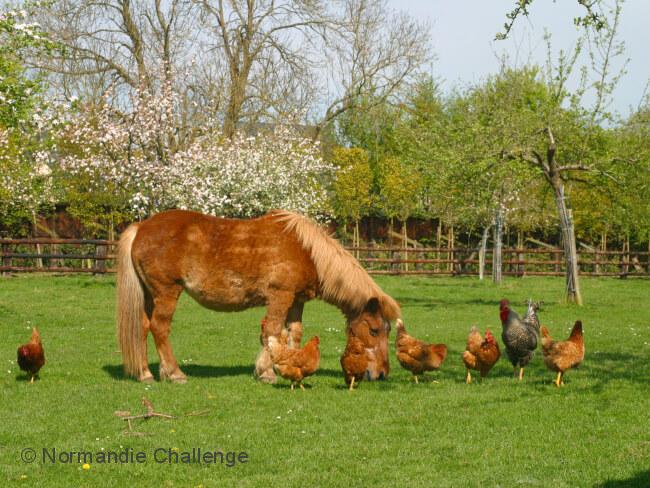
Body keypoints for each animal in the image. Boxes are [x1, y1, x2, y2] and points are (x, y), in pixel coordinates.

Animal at [117, 208, 400, 384]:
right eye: (374, 330)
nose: (382, 374)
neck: (307, 251)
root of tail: (141, 227)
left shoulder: (296, 301)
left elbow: (292, 334)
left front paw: (289, 365)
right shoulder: (280, 297)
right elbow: (272, 332)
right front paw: (266, 372)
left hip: (150, 296)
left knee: (143, 327)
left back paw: (145, 373)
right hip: (167, 292)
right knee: (159, 327)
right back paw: (174, 373)